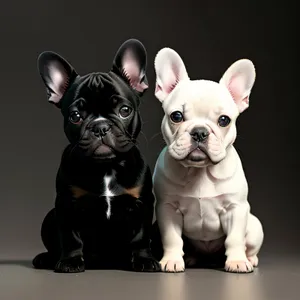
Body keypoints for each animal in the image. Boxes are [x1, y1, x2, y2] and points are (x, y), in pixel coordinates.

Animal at [31, 38, 161, 274]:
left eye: (125, 110)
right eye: (75, 116)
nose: (100, 126)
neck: (106, 167)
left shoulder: (143, 203)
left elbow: (141, 236)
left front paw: (144, 260)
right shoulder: (66, 204)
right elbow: (70, 237)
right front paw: (70, 261)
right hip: (49, 217)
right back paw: (46, 258)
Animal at [154, 47, 264, 274]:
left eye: (224, 120)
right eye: (176, 116)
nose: (199, 132)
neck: (200, 171)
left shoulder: (236, 208)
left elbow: (235, 238)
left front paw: (237, 261)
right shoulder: (167, 209)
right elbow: (172, 238)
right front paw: (172, 260)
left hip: (255, 226)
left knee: (249, 244)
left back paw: (250, 259)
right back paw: (191, 258)